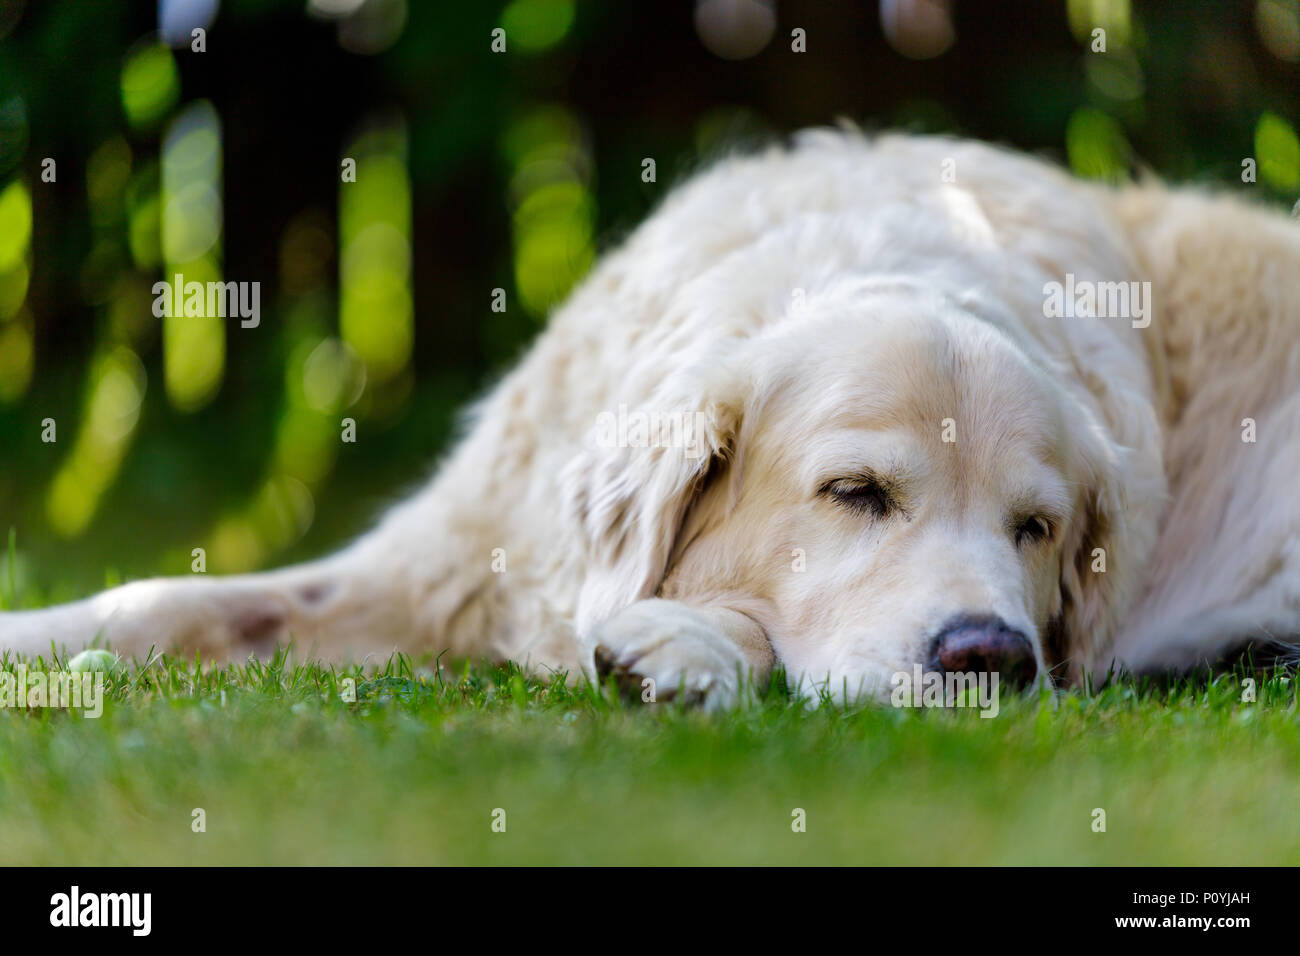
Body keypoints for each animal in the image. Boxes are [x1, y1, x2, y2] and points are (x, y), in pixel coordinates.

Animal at [2, 132, 1300, 702]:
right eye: (855, 494)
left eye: (1036, 528)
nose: (988, 653)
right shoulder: (447, 555)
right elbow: (161, 600)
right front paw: (34, 634)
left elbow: (747, 624)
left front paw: (682, 644)